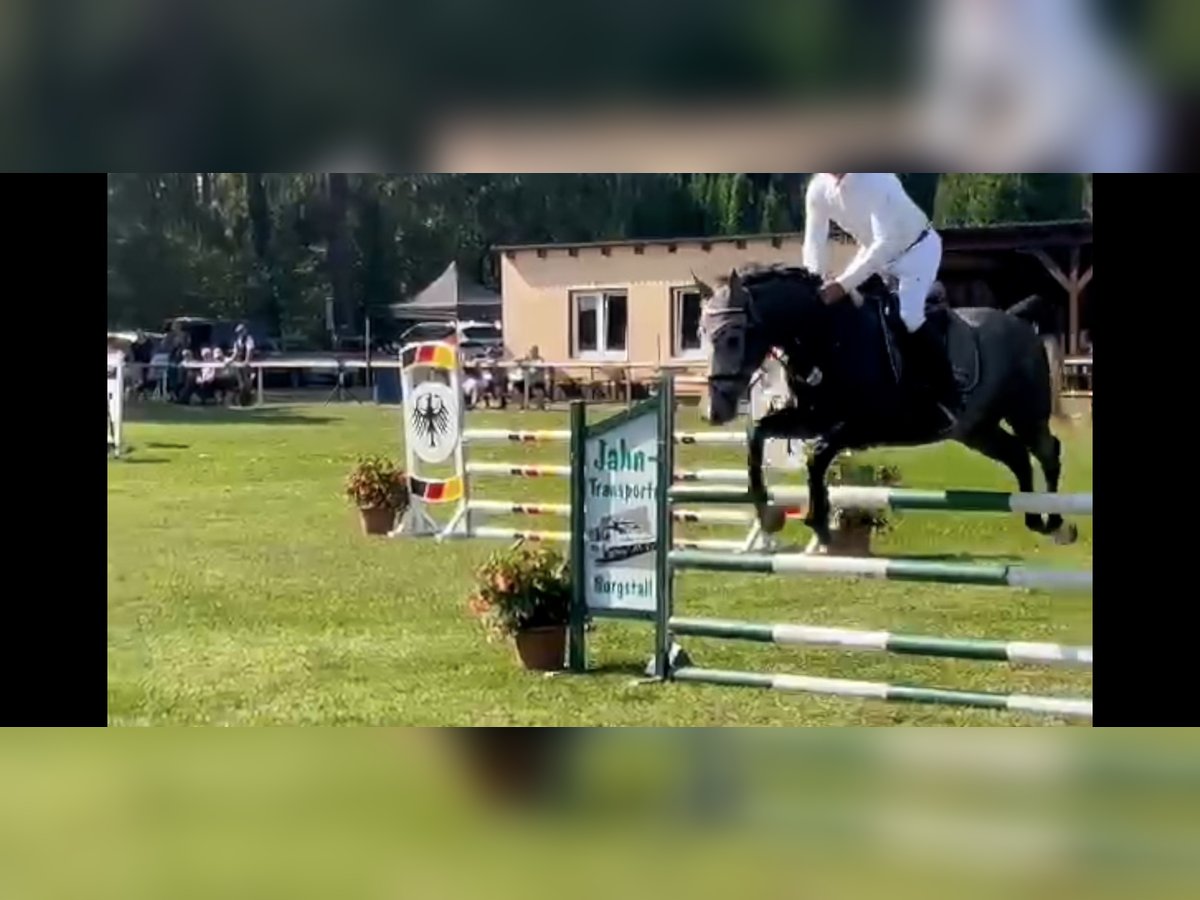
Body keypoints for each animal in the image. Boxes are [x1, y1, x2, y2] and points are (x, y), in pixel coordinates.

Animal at [696, 264, 1080, 549]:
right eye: (701, 334)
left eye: (733, 337)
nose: (715, 411)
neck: (828, 336)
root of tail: (1017, 319)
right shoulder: (813, 418)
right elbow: (759, 434)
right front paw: (766, 512)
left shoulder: (863, 425)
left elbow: (816, 456)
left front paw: (819, 524)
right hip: (977, 430)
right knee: (1017, 455)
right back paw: (1034, 518)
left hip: (1025, 414)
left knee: (1047, 451)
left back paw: (1058, 524)